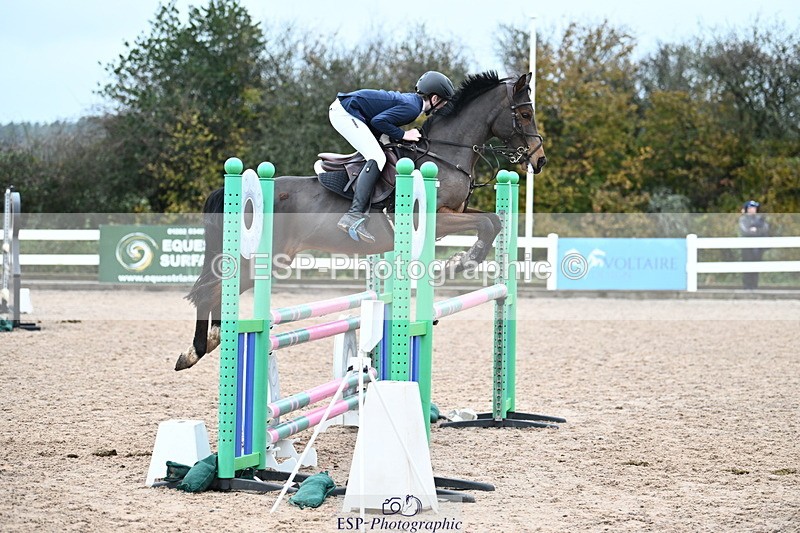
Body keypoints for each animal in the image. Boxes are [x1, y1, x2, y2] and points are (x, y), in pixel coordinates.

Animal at [175, 71, 546, 371]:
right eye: (525, 113)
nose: (539, 160)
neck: (444, 155)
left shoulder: (454, 214)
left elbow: (493, 222)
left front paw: (458, 262)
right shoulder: (436, 219)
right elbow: (487, 225)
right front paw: (457, 263)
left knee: (216, 288)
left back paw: (209, 340)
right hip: (262, 257)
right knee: (211, 291)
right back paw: (195, 350)